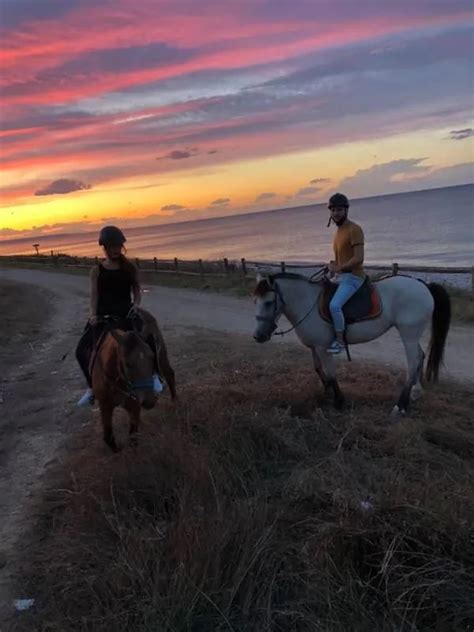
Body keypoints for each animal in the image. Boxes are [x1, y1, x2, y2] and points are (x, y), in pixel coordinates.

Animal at [91, 310, 175, 452]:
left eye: (152, 357)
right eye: (127, 363)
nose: (149, 401)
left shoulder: (134, 405)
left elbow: (133, 437)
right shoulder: (104, 404)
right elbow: (108, 438)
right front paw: (119, 451)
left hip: (162, 355)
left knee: (170, 375)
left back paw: (175, 403)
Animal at [254, 272, 450, 414]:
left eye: (269, 302)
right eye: (255, 301)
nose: (258, 336)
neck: (307, 302)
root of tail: (423, 285)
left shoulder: (323, 347)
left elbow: (331, 373)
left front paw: (339, 401)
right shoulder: (313, 347)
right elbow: (318, 368)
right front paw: (327, 390)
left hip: (408, 334)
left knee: (412, 363)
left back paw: (400, 405)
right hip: (413, 335)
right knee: (420, 356)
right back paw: (416, 391)